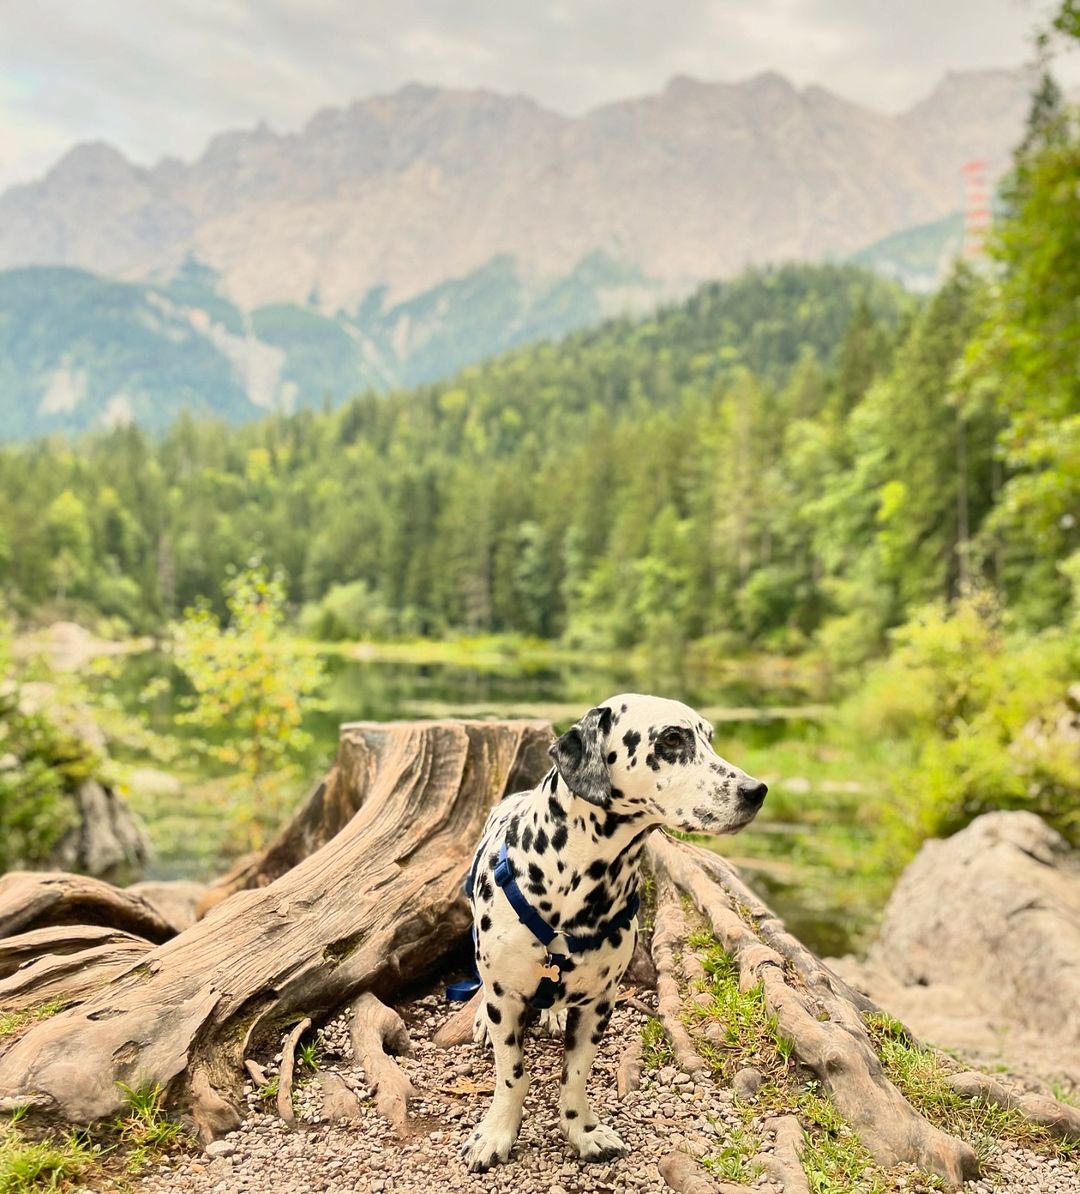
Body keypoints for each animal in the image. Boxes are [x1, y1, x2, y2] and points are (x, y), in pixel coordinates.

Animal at [458, 697, 763, 1170]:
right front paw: (496, 1134)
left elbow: (575, 1076)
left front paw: (582, 1132)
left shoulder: (599, 1004)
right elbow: (512, 1075)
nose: (756, 790)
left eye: (709, 737)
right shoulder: (506, 1001)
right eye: (672, 738)